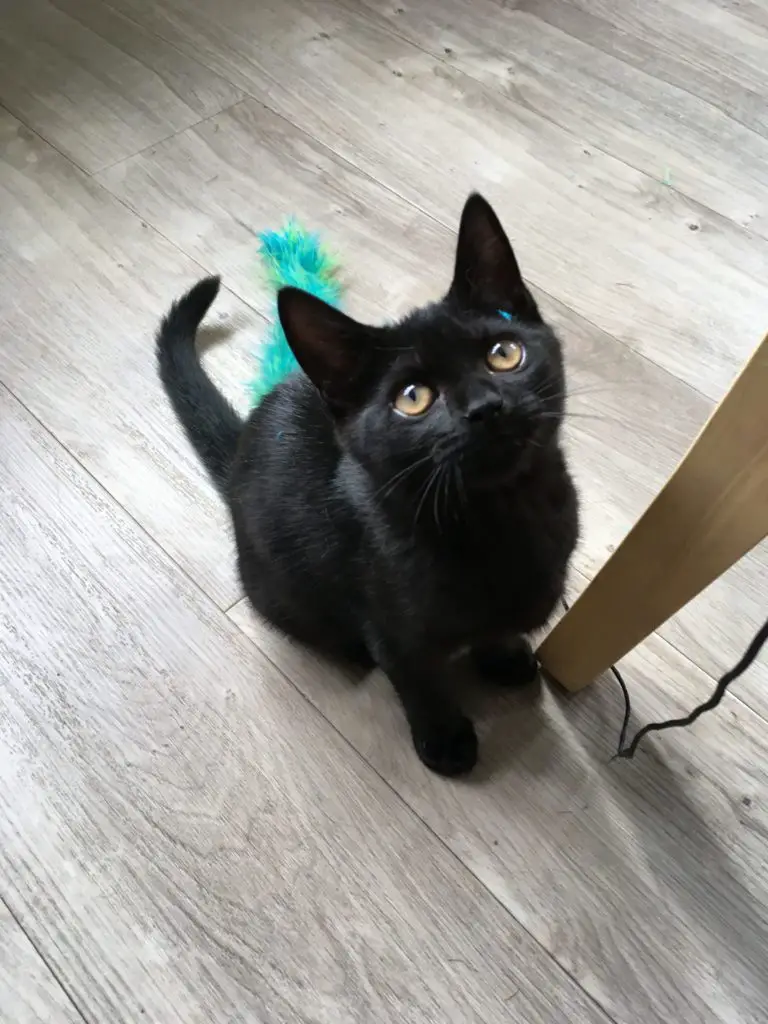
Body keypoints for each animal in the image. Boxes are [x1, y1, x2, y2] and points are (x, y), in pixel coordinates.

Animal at [156, 195, 577, 774]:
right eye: (413, 398)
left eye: (504, 353)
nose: (485, 408)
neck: (504, 517)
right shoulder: (389, 627)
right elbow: (418, 681)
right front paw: (445, 741)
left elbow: (495, 632)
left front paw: (506, 656)